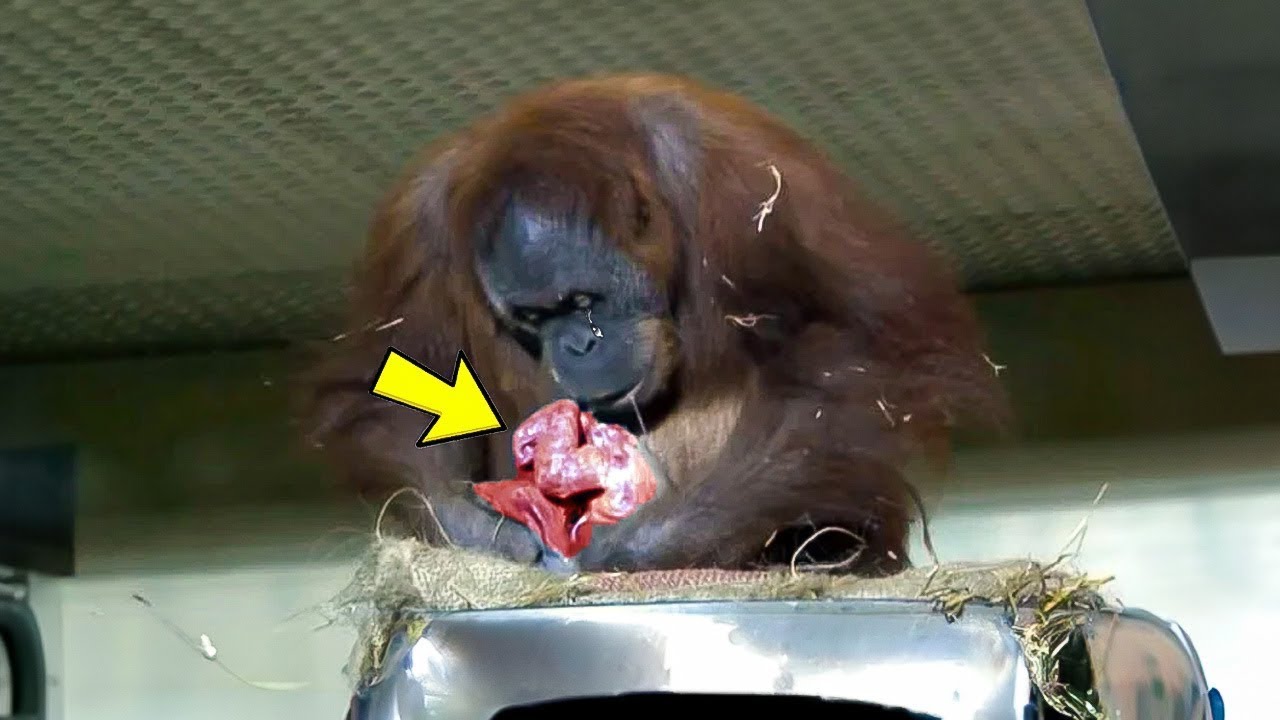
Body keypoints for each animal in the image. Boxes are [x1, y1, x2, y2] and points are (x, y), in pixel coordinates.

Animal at [300, 73, 1008, 576]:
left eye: (582, 301)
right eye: (532, 316)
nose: (575, 346)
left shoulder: (747, 172)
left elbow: (880, 343)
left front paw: (637, 546)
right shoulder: (416, 222)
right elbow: (376, 393)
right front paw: (482, 531)